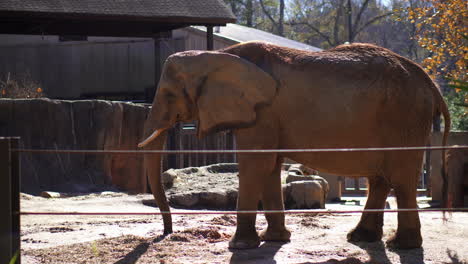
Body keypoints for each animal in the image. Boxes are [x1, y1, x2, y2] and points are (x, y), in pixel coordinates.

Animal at [139, 41, 450, 250]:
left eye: (168, 94)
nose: (166, 233)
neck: (217, 55)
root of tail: (430, 83)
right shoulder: (265, 115)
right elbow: (270, 166)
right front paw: (274, 240)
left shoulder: (261, 111)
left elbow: (256, 164)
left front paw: (240, 246)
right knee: (381, 179)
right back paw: (362, 238)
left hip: (405, 116)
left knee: (401, 178)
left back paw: (402, 245)